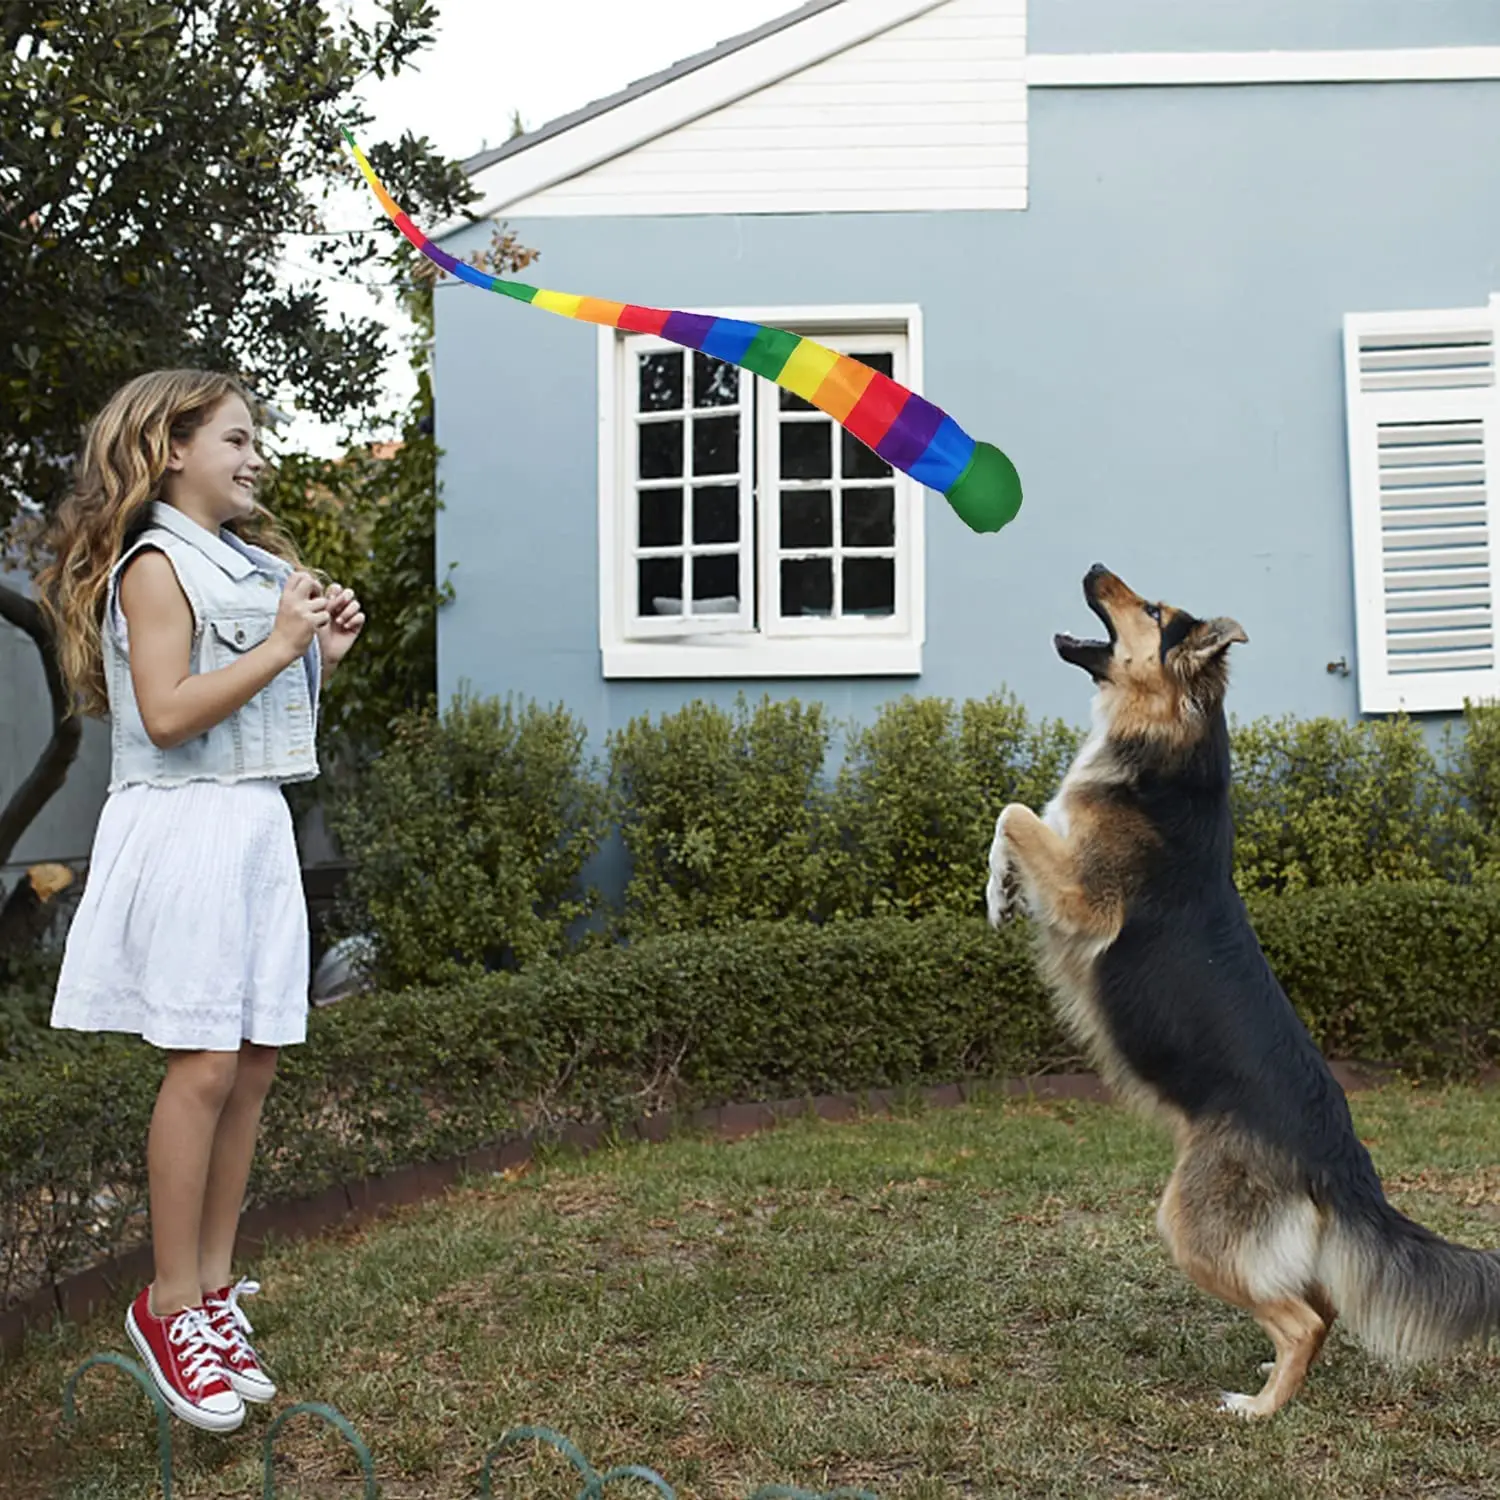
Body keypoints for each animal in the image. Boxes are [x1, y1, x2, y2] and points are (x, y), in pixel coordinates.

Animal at [984, 564, 1500, 1416]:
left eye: (1150, 609)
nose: (1092, 568)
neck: (1169, 739)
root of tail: (1342, 1163)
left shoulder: (1088, 900)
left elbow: (1016, 810)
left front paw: (998, 890)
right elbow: (1013, 816)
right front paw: (996, 889)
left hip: (1190, 1223)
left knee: (1304, 1319)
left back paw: (1258, 1410)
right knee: (1320, 1307)